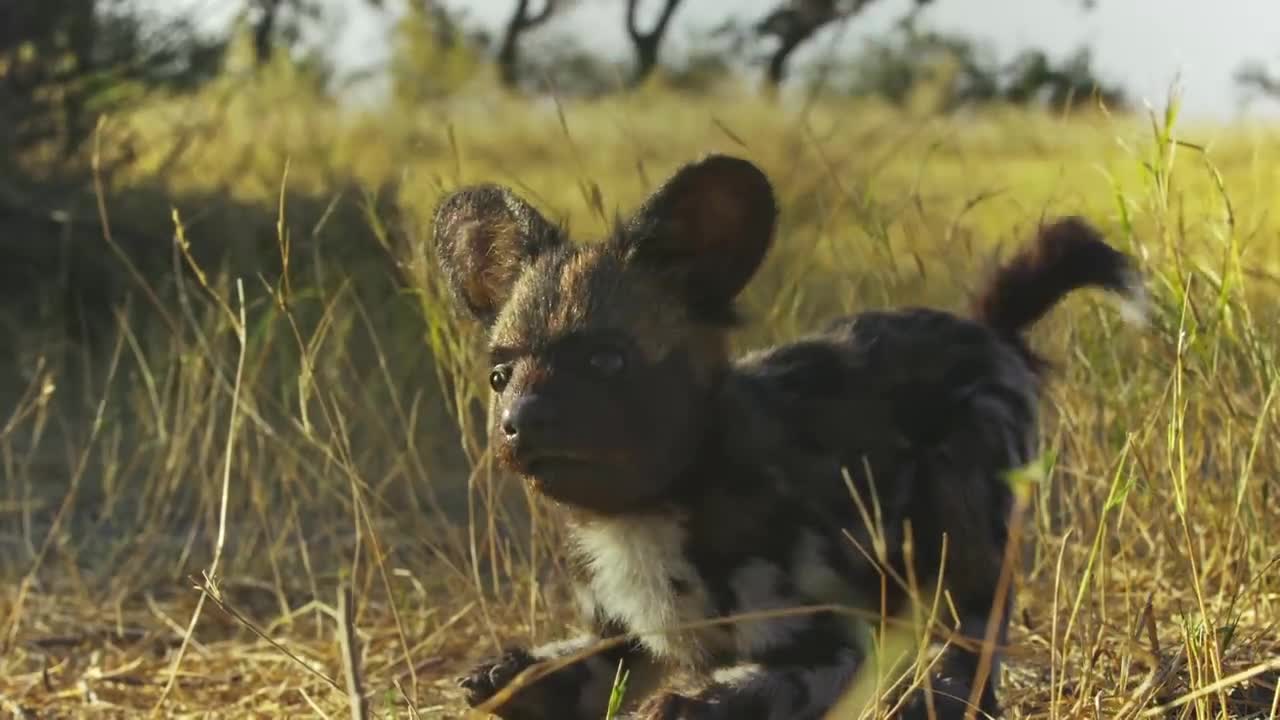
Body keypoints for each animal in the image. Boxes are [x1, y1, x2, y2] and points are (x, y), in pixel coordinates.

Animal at [440, 154, 1141, 712]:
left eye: (607, 361)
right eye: (500, 375)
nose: (521, 423)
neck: (646, 515)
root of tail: (985, 329)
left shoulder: (824, 643)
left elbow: (723, 696)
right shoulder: (623, 640)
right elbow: (545, 674)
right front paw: (511, 677)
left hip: (964, 528)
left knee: (963, 651)